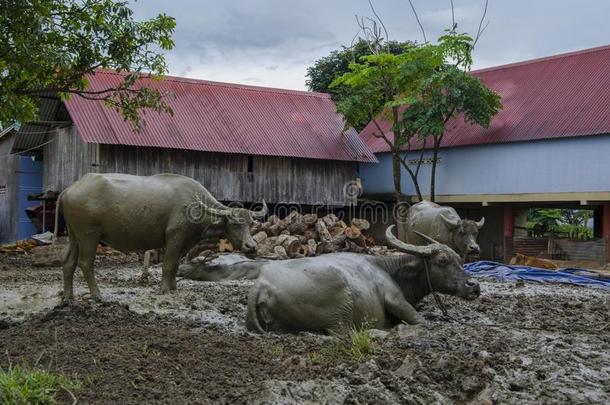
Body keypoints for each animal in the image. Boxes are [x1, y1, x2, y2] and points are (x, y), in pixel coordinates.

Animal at [55, 172, 266, 302]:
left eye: (250, 223)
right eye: (235, 223)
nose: (251, 246)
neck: (195, 205)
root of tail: (69, 190)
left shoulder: (184, 243)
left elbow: (176, 266)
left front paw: (173, 287)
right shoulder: (174, 236)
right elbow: (168, 264)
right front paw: (165, 290)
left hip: (74, 236)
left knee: (68, 261)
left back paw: (68, 296)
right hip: (89, 236)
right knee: (85, 263)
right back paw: (97, 295)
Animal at [245, 224, 478, 334]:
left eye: (460, 259)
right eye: (443, 260)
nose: (474, 285)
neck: (389, 270)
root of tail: (262, 284)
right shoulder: (395, 300)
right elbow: (420, 321)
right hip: (341, 312)